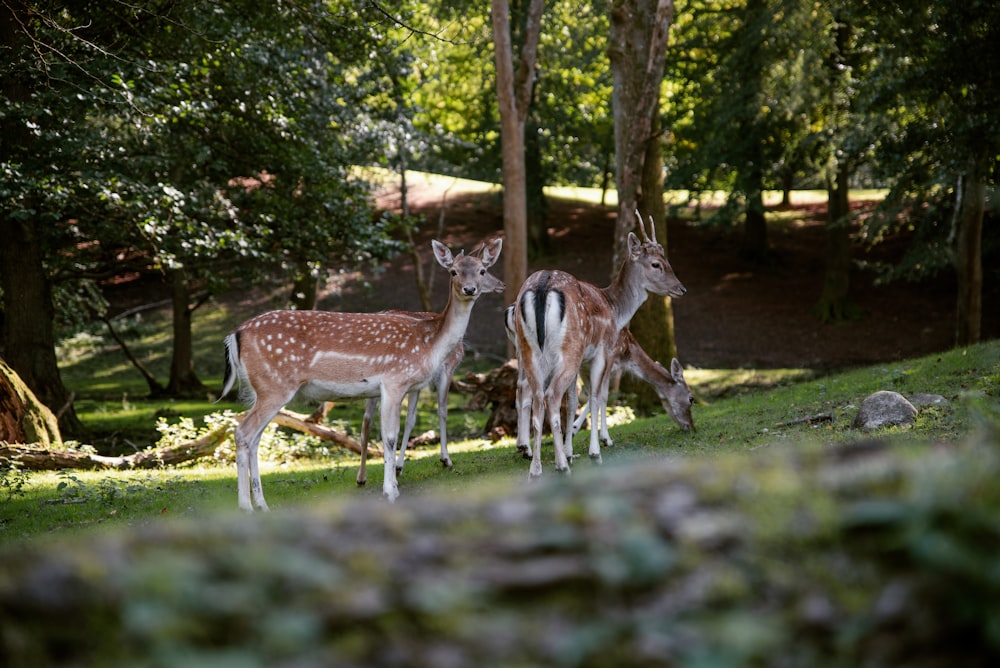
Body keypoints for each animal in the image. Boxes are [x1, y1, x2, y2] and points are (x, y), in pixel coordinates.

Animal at [219, 237, 500, 508]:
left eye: (482, 270)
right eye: (453, 271)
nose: (470, 289)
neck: (429, 342)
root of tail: (235, 334)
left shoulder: (402, 387)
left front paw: (393, 484)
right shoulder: (394, 381)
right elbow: (389, 436)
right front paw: (391, 491)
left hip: (263, 389)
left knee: (254, 438)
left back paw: (261, 505)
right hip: (273, 386)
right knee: (243, 433)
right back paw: (246, 506)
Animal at [512, 211, 684, 478]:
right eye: (656, 264)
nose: (681, 288)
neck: (615, 309)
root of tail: (542, 286)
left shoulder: (584, 359)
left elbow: (575, 401)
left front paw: (572, 451)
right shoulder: (604, 351)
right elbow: (597, 396)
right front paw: (596, 450)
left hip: (530, 351)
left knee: (536, 396)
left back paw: (536, 468)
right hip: (569, 350)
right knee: (551, 396)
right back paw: (560, 465)